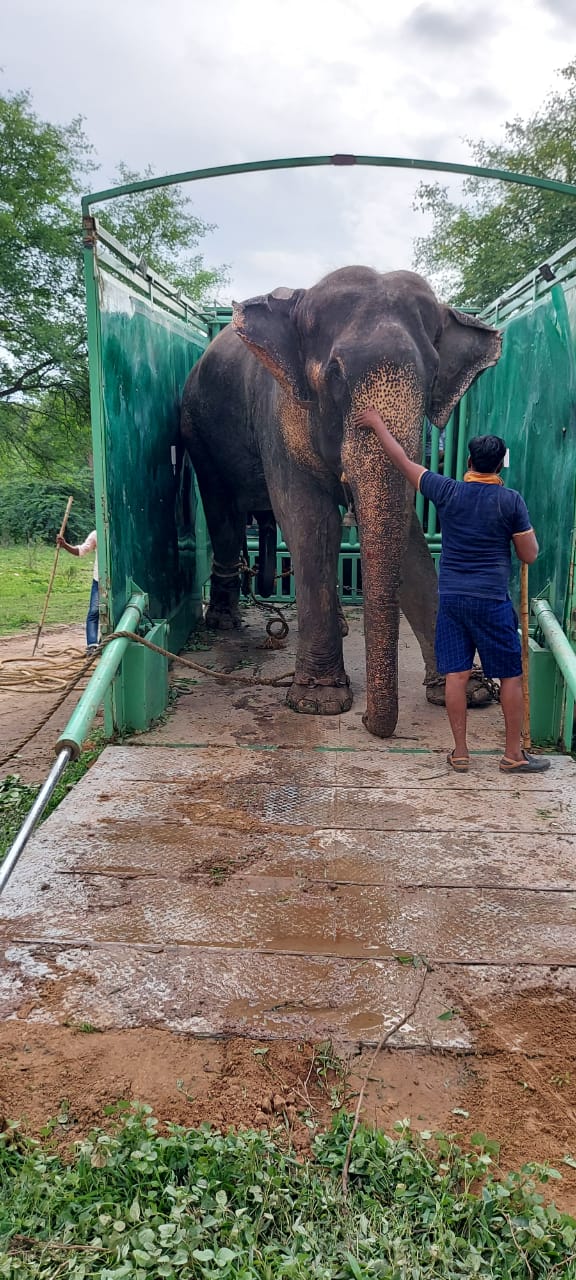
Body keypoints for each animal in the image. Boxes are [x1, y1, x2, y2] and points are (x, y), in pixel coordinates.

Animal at [180, 270, 499, 742]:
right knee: (224, 517)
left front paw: (468, 693)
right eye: (334, 375)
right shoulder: (280, 413)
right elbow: (311, 523)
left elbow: (406, 534)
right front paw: (320, 703)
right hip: (197, 431)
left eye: (433, 374)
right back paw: (222, 623)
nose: (368, 722)